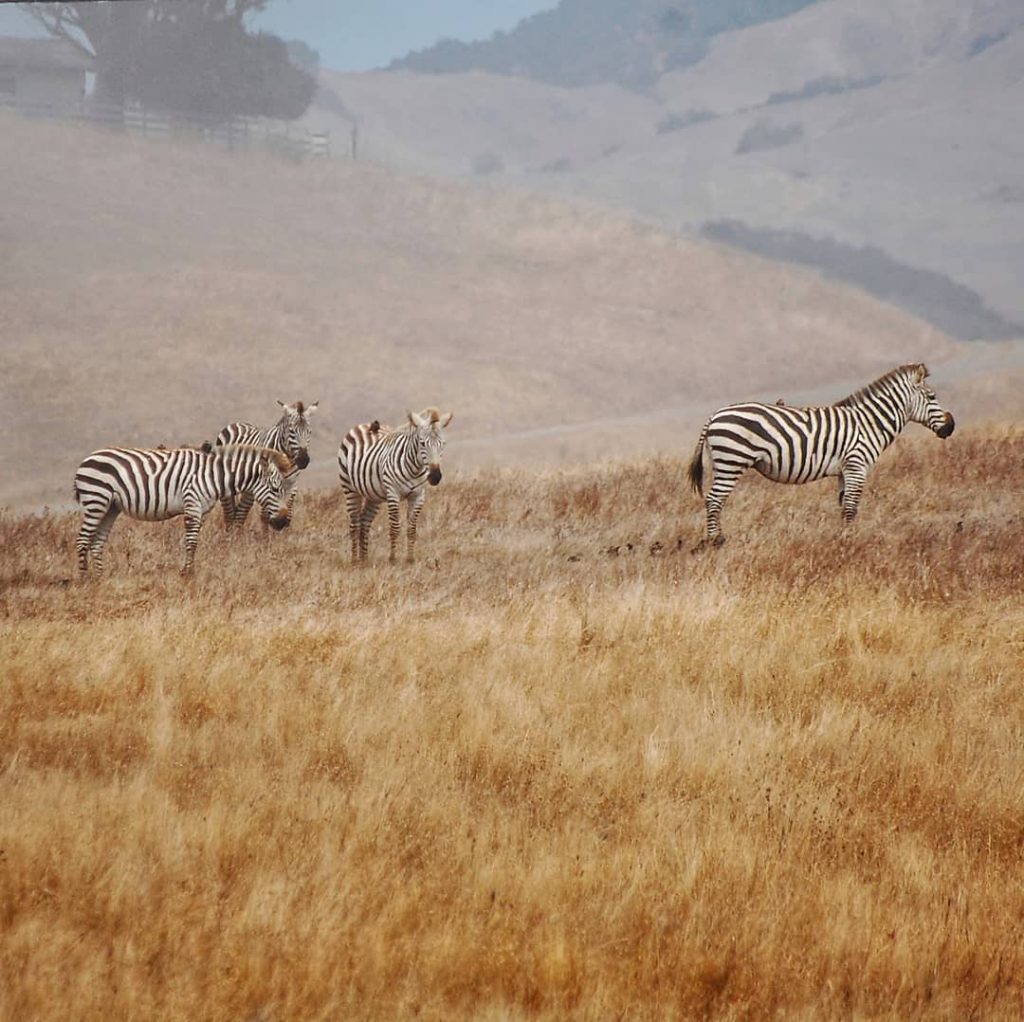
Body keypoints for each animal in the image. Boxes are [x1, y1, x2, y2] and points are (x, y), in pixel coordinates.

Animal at [73, 444, 297, 576]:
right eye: (275, 489)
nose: (283, 523)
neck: (215, 476)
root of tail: (86, 460)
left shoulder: (203, 510)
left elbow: (193, 541)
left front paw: (191, 570)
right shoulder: (192, 502)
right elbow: (191, 541)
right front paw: (187, 573)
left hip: (110, 507)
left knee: (97, 542)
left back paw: (100, 578)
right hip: (96, 499)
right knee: (83, 540)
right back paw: (85, 579)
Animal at [215, 400, 318, 529]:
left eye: (310, 432)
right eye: (292, 431)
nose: (303, 460)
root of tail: (235, 423)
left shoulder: (292, 483)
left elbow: (288, 507)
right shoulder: (268, 481)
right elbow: (265, 514)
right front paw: (268, 532)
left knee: (240, 511)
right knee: (230, 512)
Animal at [337, 407, 454, 564]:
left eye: (443, 444)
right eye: (422, 443)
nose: (435, 477)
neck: (414, 470)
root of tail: (363, 425)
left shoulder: (418, 496)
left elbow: (412, 528)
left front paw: (410, 559)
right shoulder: (393, 494)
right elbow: (394, 527)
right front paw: (392, 558)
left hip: (373, 495)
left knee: (364, 521)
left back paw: (364, 560)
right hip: (349, 488)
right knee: (354, 524)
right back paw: (355, 560)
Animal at [688, 363, 955, 547]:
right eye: (932, 397)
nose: (950, 427)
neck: (870, 423)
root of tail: (715, 415)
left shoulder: (845, 471)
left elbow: (844, 506)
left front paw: (843, 538)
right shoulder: (858, 465)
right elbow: (851, 507)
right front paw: (850, 543)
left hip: (724, 462)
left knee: (714, 500)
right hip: (731, 461)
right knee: (714, 500)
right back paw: (715, 541)